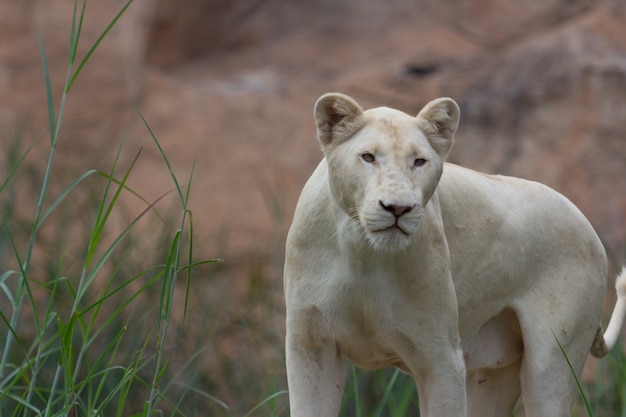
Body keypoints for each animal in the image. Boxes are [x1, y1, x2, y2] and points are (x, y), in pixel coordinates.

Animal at [284, 92, 624, 416]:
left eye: (419, 161)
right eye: (368, 157)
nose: (398, 208)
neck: (363, 254)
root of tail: (587, 225)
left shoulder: (441, 357)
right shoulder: (310, 346)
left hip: (551, 362)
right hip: (491, 375)